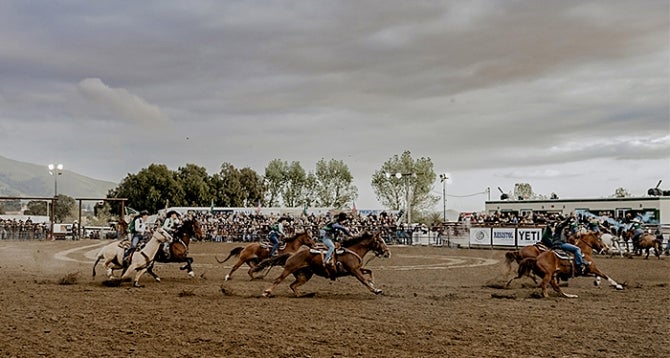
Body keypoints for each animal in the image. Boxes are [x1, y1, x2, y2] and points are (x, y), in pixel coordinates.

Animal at [262, 231, 392, 298]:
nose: (388, 253)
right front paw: (375, 290)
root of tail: (292, 255)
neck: (353, 250)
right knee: (278, 280)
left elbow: (370, 271)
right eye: (380, 241)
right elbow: (364, 280)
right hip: (289, 268)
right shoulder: (354, 271)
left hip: (305, 275)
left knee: (293, 286)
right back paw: (266, 292)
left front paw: (373, 283)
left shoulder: (356, 269)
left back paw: (306, 294)